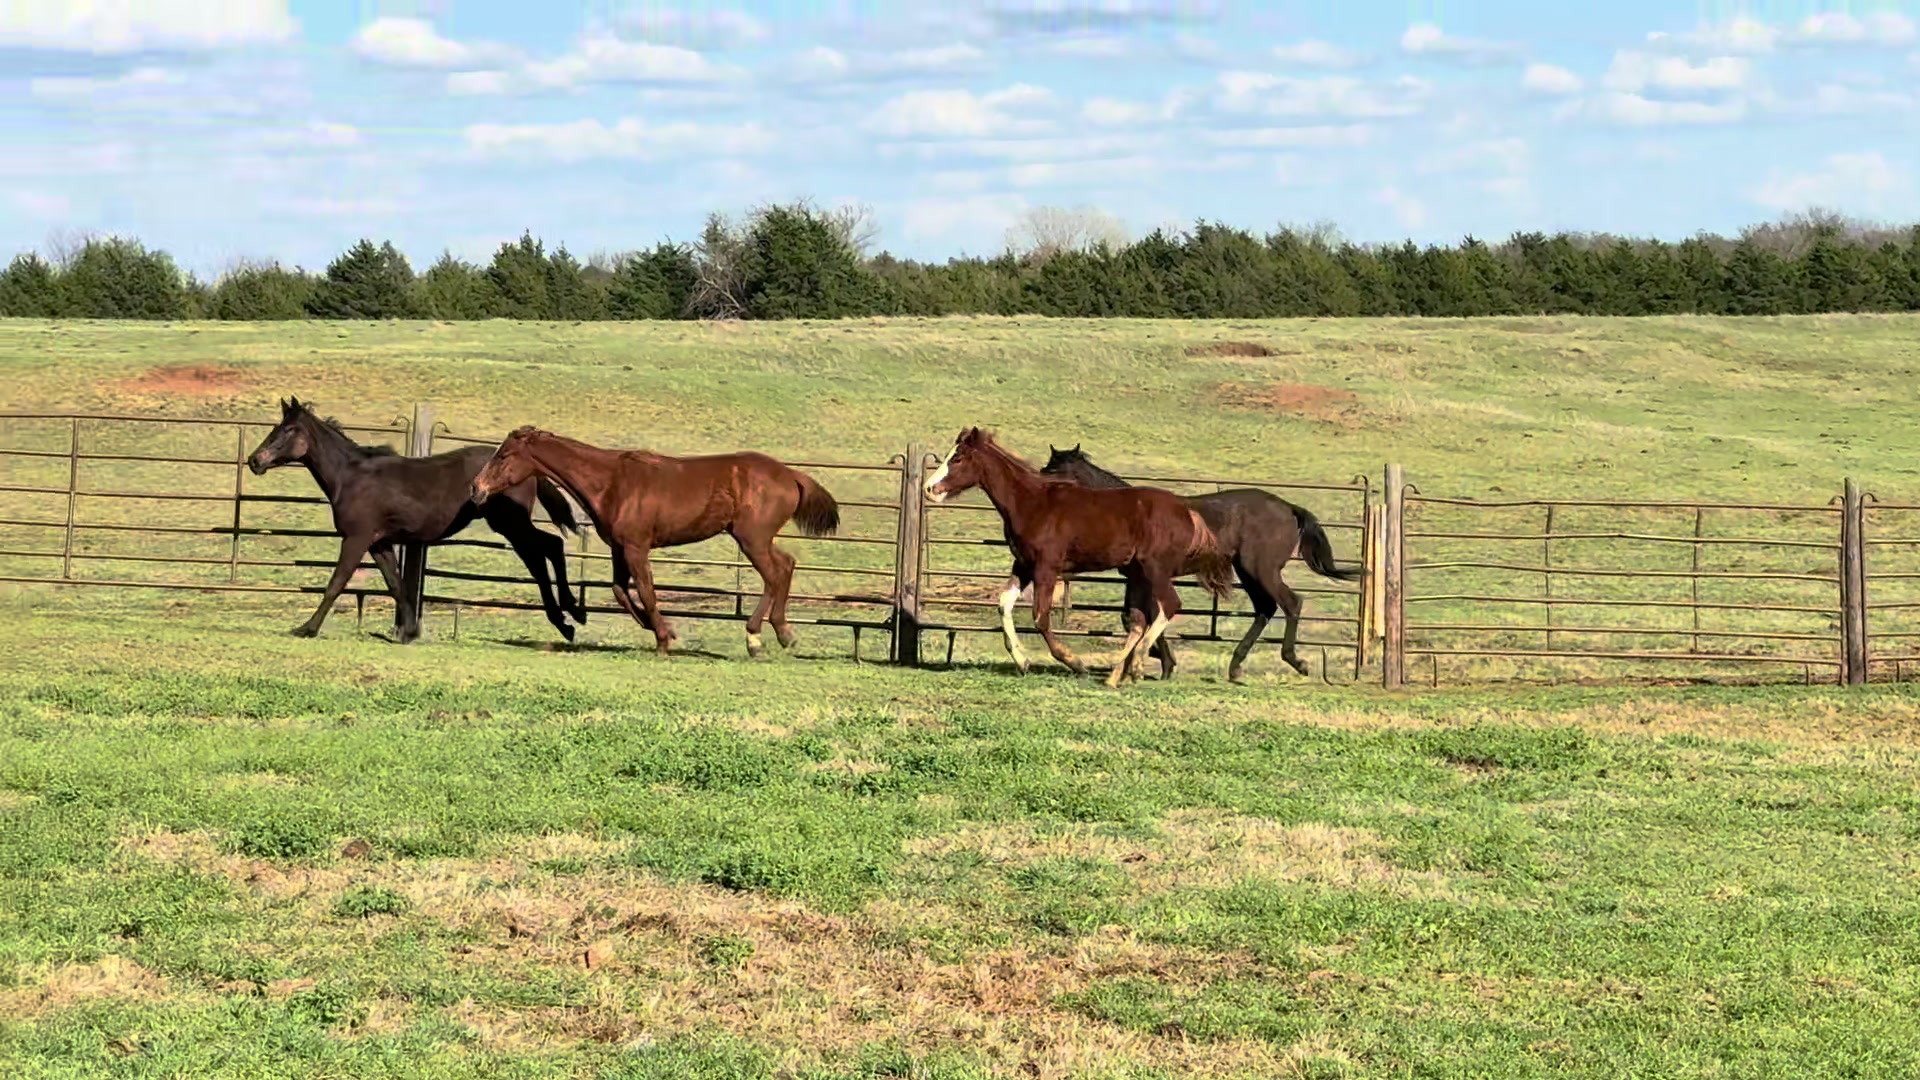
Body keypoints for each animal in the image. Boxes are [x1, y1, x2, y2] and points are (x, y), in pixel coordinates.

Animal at [246, 397, 586, 644]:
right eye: (277, 427)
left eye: (288, 430)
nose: (254, 461)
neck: (351, 477)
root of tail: (530, 468)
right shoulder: (379, 542)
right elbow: (396, 585)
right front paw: (409, 632)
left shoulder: (356, 538)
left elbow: (336, 582)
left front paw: (306, 628)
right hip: (512, 527)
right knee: (541, 554)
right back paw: (567, 620)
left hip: (511, 524)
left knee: (549, 547)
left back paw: (571, 614)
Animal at [470, 426, 840, 659]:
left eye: (504, 456)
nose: (476, 489)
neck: (612, 482)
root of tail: (791, 475)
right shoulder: (619, 548)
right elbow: (621, 591)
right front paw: (665, 630)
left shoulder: (637, 547)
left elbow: (647, 591)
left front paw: (664, 641)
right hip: (758, 539)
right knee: (786, 566)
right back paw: (783, 633)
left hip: (753, 539)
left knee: (775, 574)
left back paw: (757, 640)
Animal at [923, 427, 1234, 687]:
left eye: (958, 458)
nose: (929, 489)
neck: (1031, 503)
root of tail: (1188, 511)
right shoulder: (1023, 565)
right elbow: (1004, 604)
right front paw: (1022, 661)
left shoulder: (1046, 568)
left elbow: (1040, 617)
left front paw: (1075, 663)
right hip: (1138, 573)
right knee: (1141, 618)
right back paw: (1116, 676)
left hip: (1154, 569)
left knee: (1168, 605)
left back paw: (1134, 667)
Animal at [1037, 443, 1362, 683]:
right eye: (1045, 468)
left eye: (1057, 471)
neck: (1130, 512)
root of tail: (1289, 508)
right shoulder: (1139, 578)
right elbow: (1136, 616)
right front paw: (1154, 661)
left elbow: (1147, 615)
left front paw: (1158, 663)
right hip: (1248, 572)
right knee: (1265, 608)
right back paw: (1235, 668)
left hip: (1262, 569)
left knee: (1290, 603)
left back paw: (1296, 661)